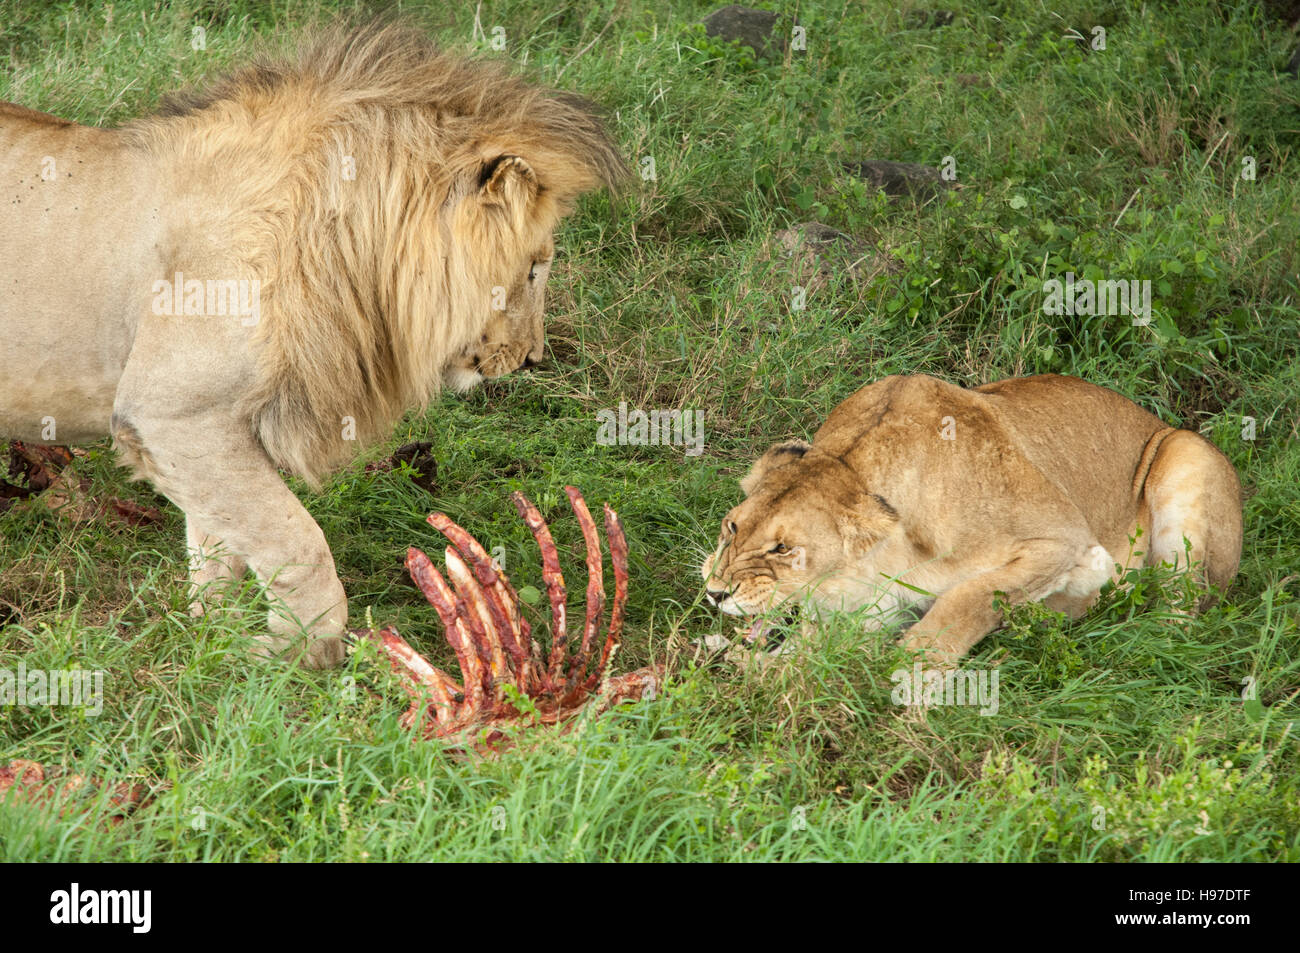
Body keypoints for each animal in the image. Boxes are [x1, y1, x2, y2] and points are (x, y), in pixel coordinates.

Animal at [1, 20, 624, 660]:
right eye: (535, 268)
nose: (532, 359)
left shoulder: (202, 427)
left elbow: (218, 542)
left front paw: (213, 640)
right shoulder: (169, 413)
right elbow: (296, 542)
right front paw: (301, 652)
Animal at [707, 371, 1242, 660]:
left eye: (783, 549)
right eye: (732, 527)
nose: (714, 593)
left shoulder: (1064, 539)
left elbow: (972, 596)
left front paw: (919, 664)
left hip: (1186, 453)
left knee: (1178, 619)